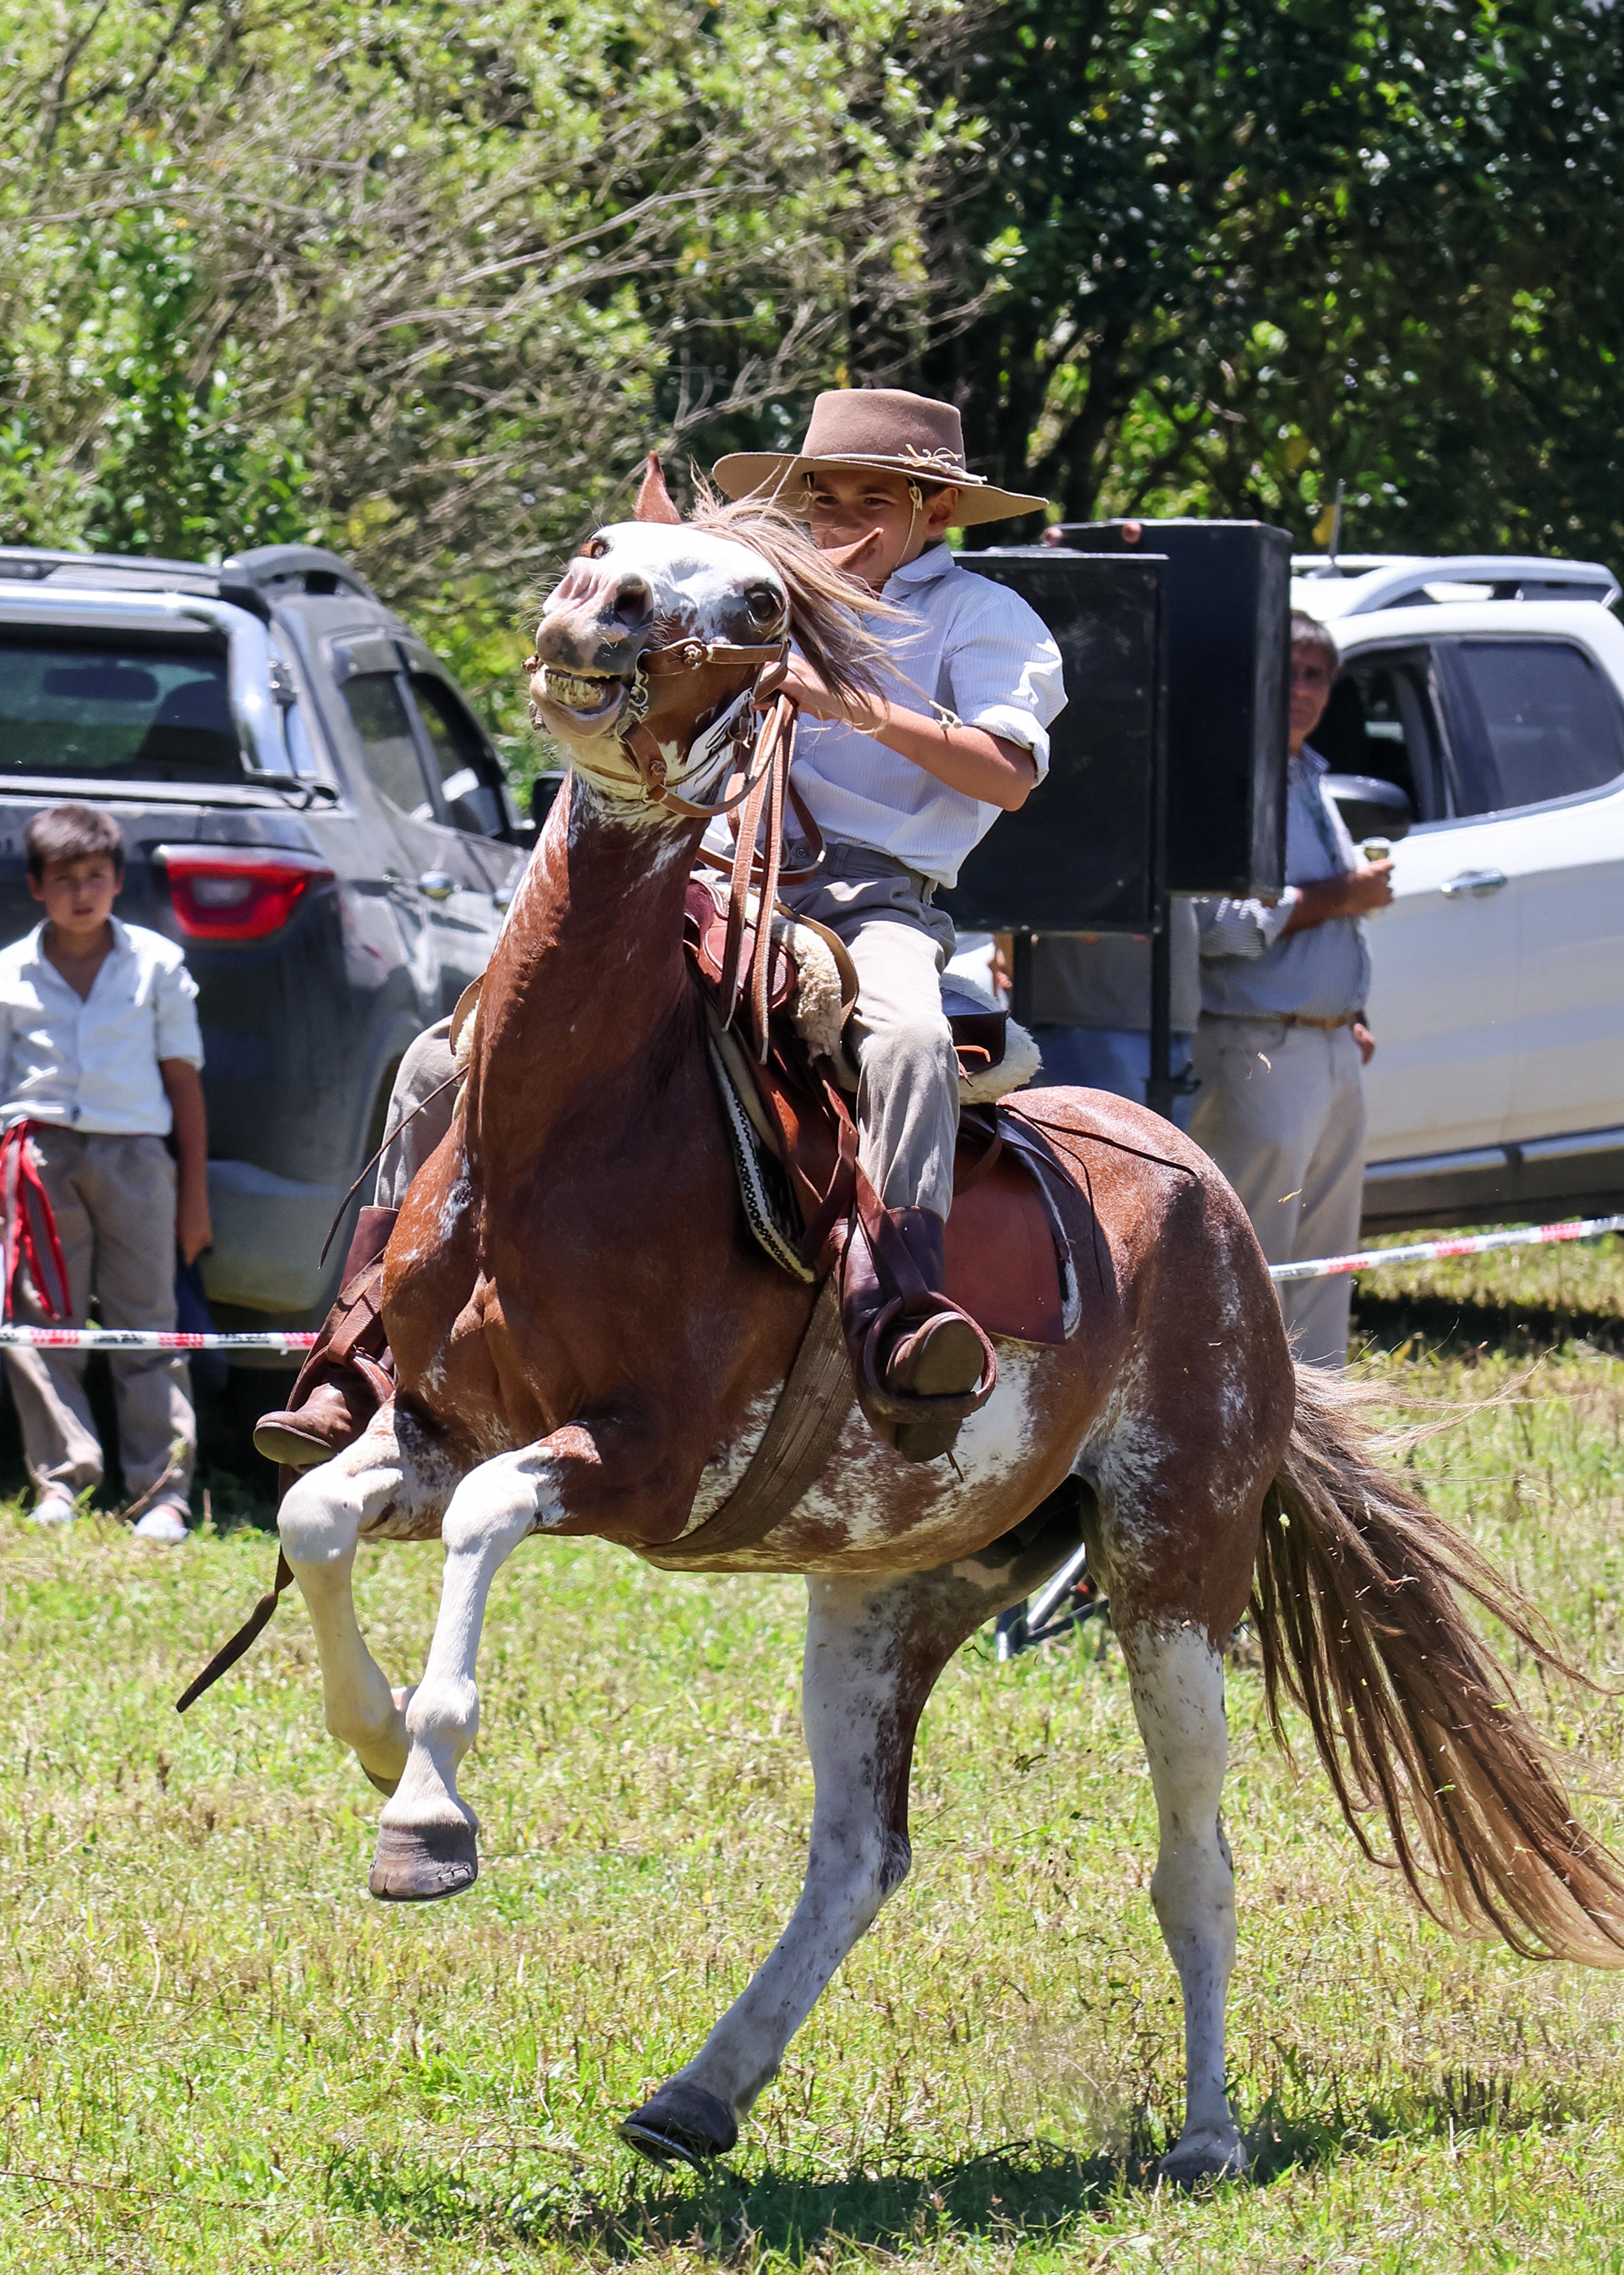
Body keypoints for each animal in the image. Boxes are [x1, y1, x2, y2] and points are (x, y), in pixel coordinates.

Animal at [274, 461, 1624, 2184]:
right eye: (603, 547)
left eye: (759, 605)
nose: (601, 615)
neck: (574, 1123)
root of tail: (1218, 1211)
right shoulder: (436, 1427)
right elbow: (318, 1513)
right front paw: (384, 1745)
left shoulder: (637, 1461)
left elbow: (487, 1524)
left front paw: (427, 1816)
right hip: (889, 1584)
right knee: (862, 1850)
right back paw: (699, 2092)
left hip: (1173, 1573)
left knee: (1196, 1858)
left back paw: (1206, 2134)